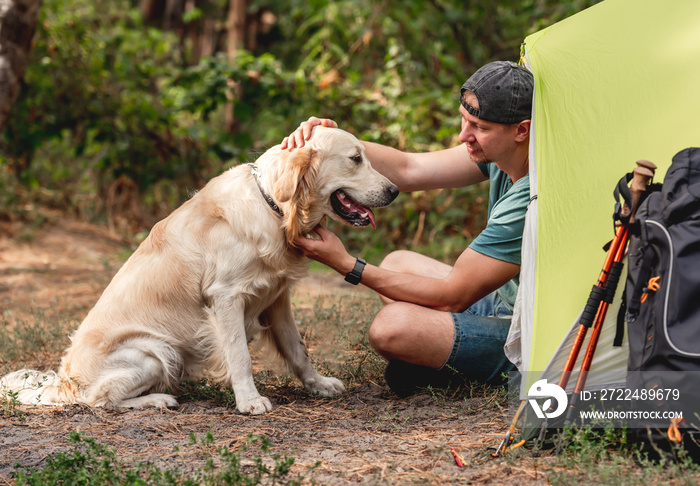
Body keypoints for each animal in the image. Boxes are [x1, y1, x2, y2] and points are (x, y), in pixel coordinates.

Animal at [0, 125, 396, 414]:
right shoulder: (226, 297)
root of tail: (62, 382)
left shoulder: (277, 297)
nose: (394, 190)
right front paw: (249, 401)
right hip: (155, 351)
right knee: (97, 400)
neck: (272, 207)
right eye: (355, 158)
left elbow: (298, 350)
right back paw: (157, 399)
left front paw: (319, 384)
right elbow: (240, 355)